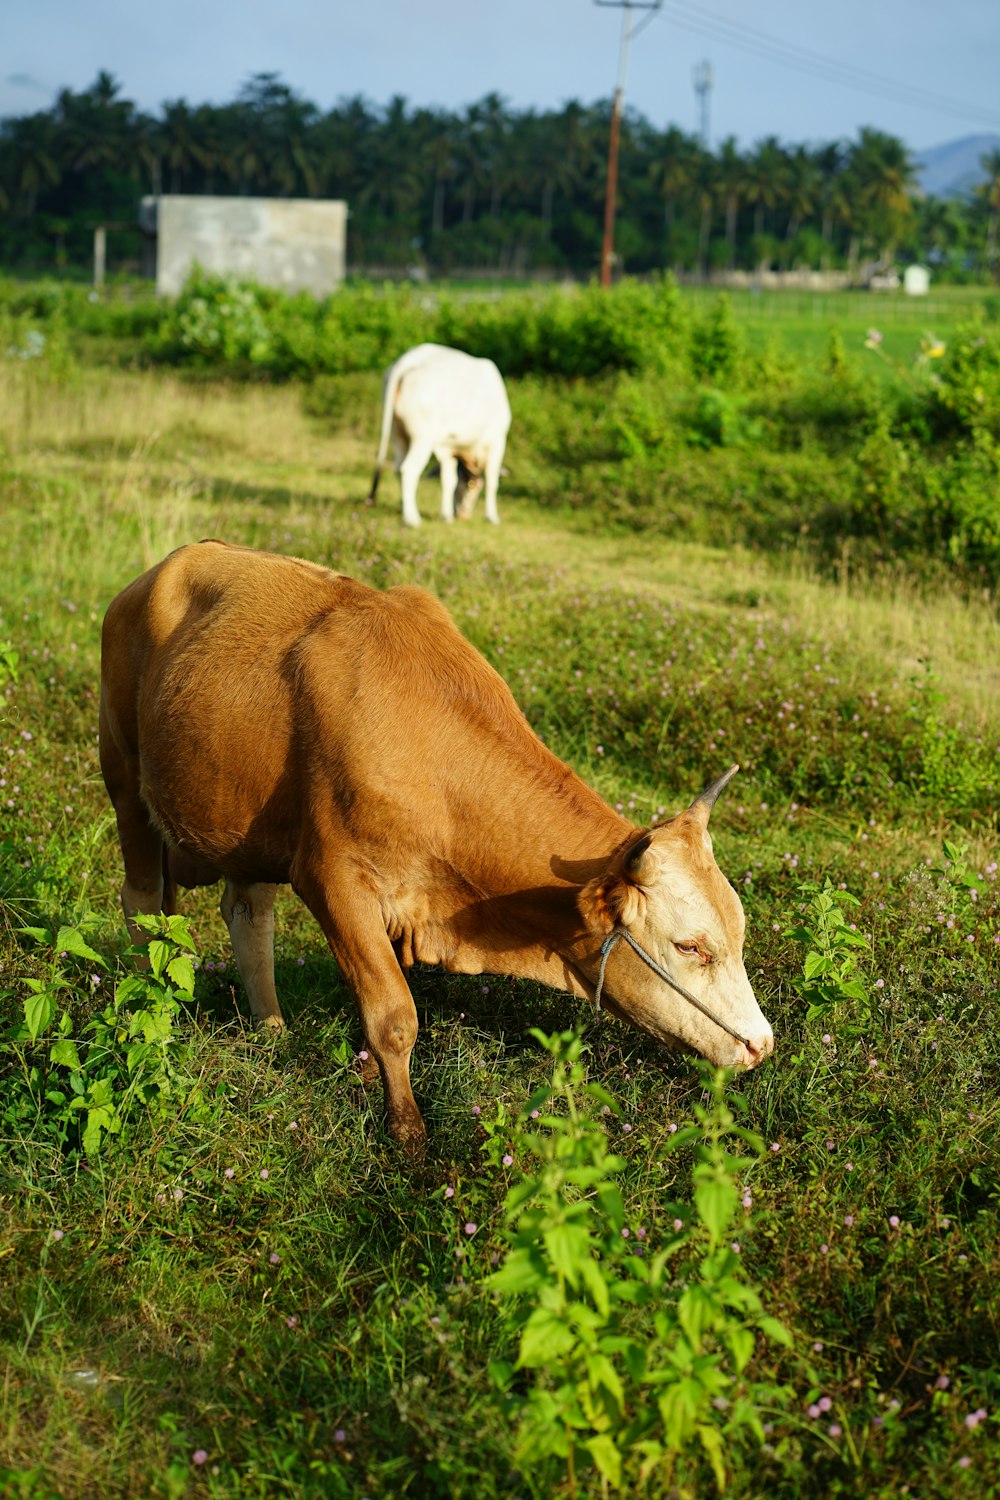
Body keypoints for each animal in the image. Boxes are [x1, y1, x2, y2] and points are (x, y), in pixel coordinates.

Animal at [99, 546, 773, 1140]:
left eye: (738, 934)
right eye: (690, 947)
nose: (761, 1045)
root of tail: (164, 568)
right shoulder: (332, 879)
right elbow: (394, 1017)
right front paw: (408, 1135)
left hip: (244, 826)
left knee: (247, 916)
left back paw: (270, 1030)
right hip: (125, 779)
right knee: (142, 901)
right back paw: (142, 1008)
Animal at [367, 343, 512, 528]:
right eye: (473, 487)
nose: (462, 515)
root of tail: (405, 361)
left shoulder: (447, 447)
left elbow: (448, 479)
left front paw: (446, 516)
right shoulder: (497, 440)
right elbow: (492, 481)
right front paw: (492, 517)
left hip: (396, 431)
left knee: (398, 468)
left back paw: (404, 507)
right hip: (422, 437)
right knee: (409, 468)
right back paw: (411, 519)